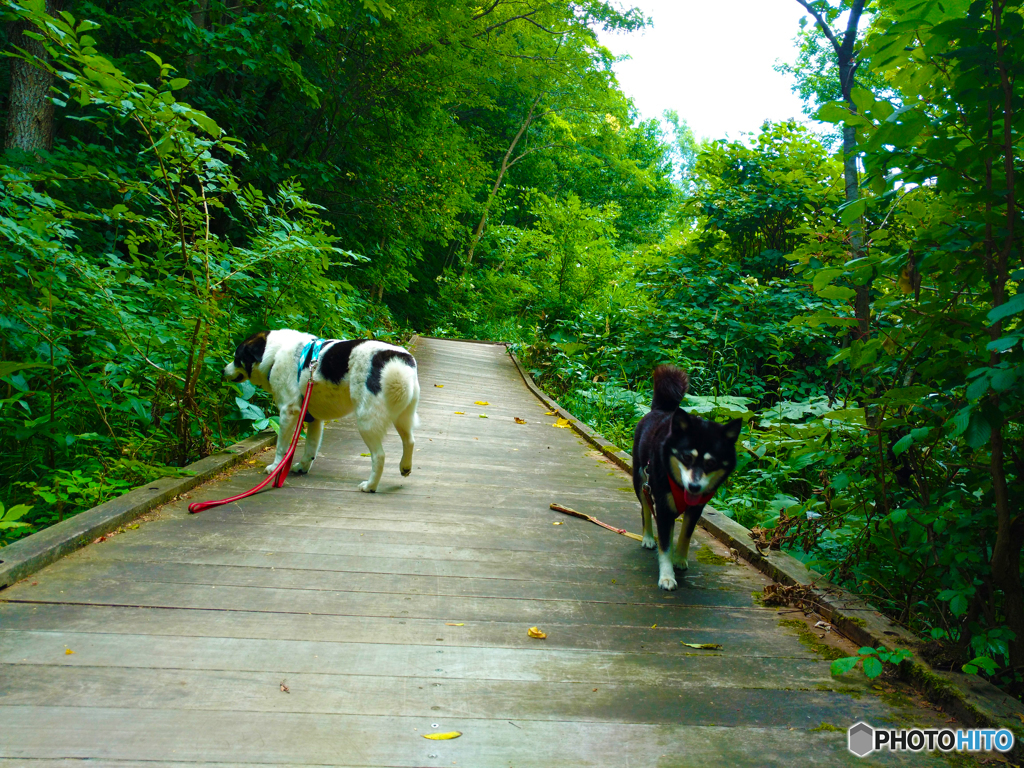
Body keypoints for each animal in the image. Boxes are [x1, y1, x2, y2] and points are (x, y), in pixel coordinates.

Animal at [224, 331, 419, 493]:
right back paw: (405, 467)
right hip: (403, 416)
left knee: (379, 456)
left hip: (366, 422)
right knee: (409, 441)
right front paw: (302, 467)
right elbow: (310, 447)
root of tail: (398, 358)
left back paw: (370, 486)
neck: (274, 353)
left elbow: (281, 447)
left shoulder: (288, 412)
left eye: (236, 357)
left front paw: (275, 467)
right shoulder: (314, 419)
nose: (223, 371)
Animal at [626, 364, 741, 589]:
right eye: (687, 457)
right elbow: (664, 545)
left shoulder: (696, 508)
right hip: (641, 480)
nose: (695, 487)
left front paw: (678, 559)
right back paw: (648, 537)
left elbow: (685, 536)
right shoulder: (663, 506)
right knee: (645, 509)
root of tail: (661, 410)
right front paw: (667, 575)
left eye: (711, 463)